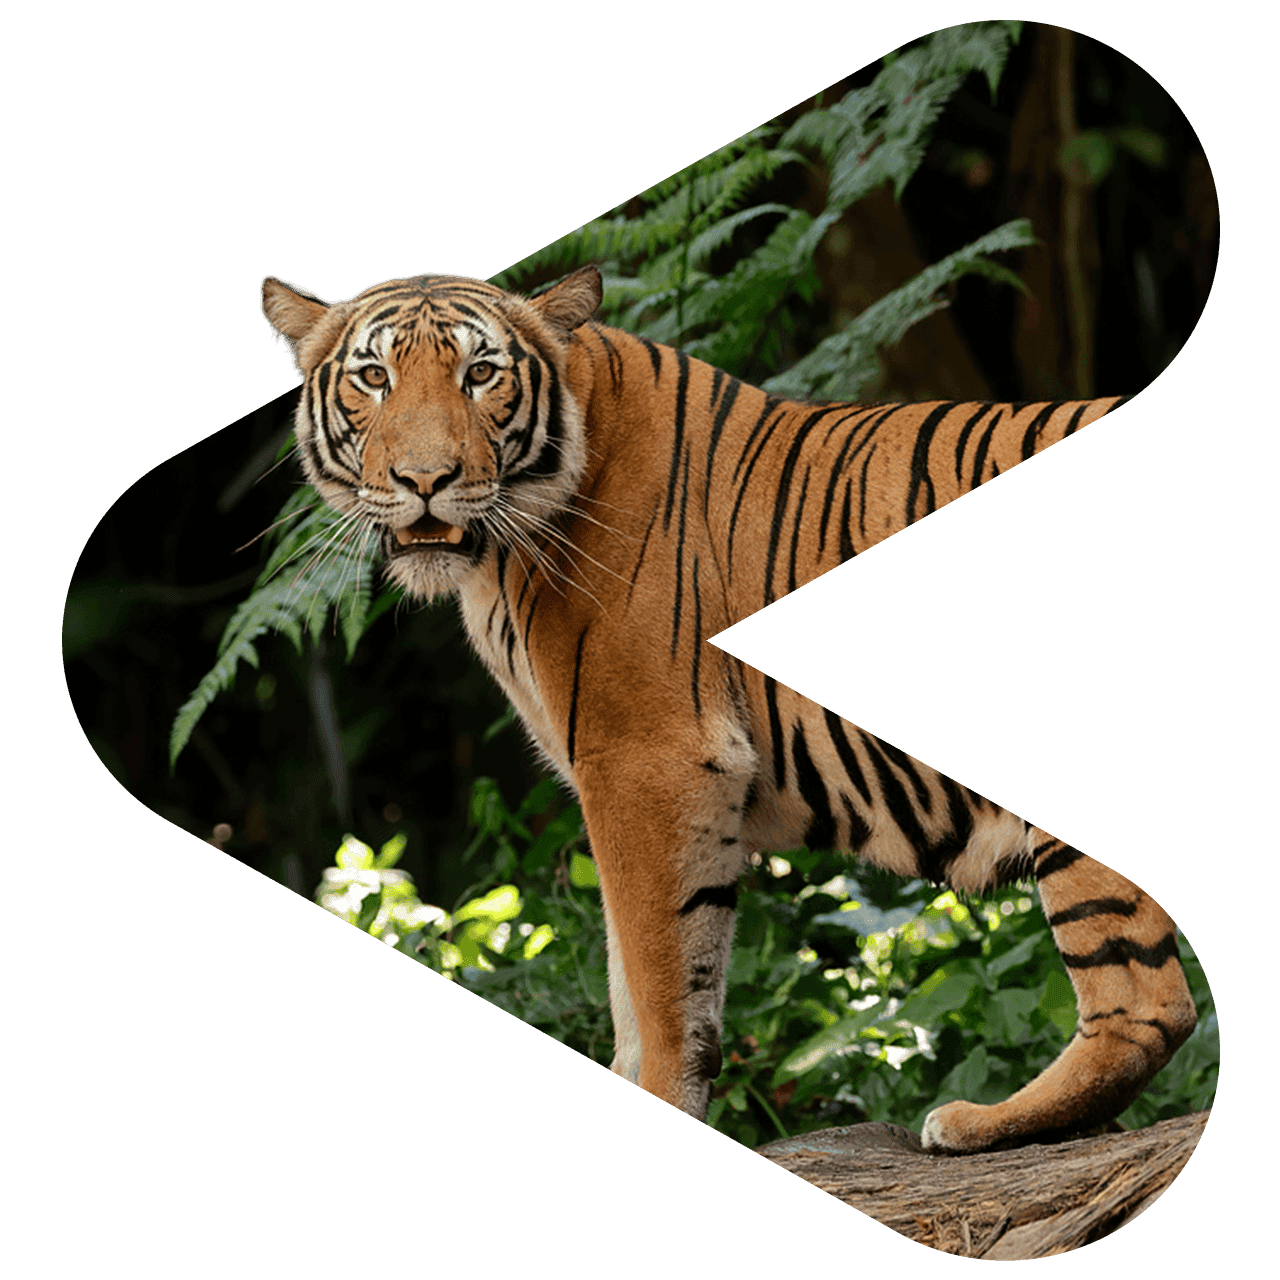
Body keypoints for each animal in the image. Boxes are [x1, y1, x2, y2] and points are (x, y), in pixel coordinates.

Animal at [261, 263, 1197, 1153]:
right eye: (375, 377)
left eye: (480, 373)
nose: (426, 481)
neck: (501, 555)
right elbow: (648, 986)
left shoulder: (649, 763)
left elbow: (661, 992)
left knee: (1148, 1004)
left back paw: (981, 1125)